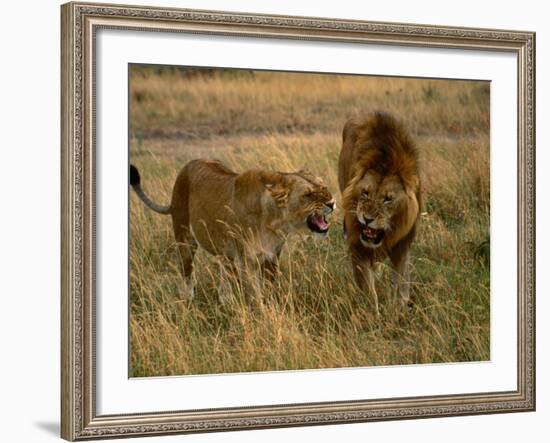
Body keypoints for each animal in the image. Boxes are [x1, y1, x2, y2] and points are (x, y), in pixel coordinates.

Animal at [131, 160, 336, 298]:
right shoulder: (248, 260)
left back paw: (226, 300)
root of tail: (188, 165)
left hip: (225, 251)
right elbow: (255, 295)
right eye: (308, 195)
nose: (332, 203)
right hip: (184, 238)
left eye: (324, 187)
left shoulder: (272, 256)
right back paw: (189, 301)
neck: (274, 221)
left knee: (225, 273)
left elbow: (270, 289)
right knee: (187, 274)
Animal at [336, 112, 422, 314]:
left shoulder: (402, 243)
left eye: (388, 199)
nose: (367, 220)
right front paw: (372, 317)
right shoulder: (357, 244)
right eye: (365, 193)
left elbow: (402, 283)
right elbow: (368, 290)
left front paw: (399, 312)